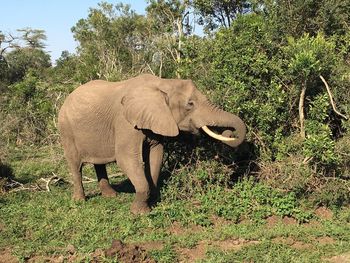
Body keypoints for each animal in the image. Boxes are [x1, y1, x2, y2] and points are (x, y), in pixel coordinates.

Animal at [58, 73, 246, 214]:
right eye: (190, 104)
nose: (230, 133)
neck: (162, 83)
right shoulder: (125, 122)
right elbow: (125, 157)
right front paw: (140, 212)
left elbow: (156, 154)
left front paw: (153, 201)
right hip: (66, 129)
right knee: (75, 165)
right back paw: (80, 201)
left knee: (99, 163)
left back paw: (111, 196)